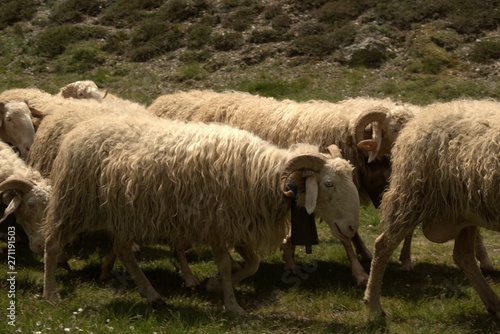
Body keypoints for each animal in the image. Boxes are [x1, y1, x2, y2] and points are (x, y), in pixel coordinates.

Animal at [42, 113, 360, 314]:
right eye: (328, 184)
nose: (352, 229)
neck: (260, 174)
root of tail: (79, 130)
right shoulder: (218, 224)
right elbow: (226, 264)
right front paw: (232, 305)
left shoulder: (239, 225)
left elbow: (252, 264)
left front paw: (213, 285)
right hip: (74, 203)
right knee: (53, 244)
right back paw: (51, 294)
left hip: (124, 214)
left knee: (123, 250)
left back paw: (153, 295)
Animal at [364, 98, 500, 318]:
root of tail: (419, 120)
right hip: (412, 195)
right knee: (383, 245)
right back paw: (374, 305)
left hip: (466, 213)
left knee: (463, 255)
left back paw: (494, 305)